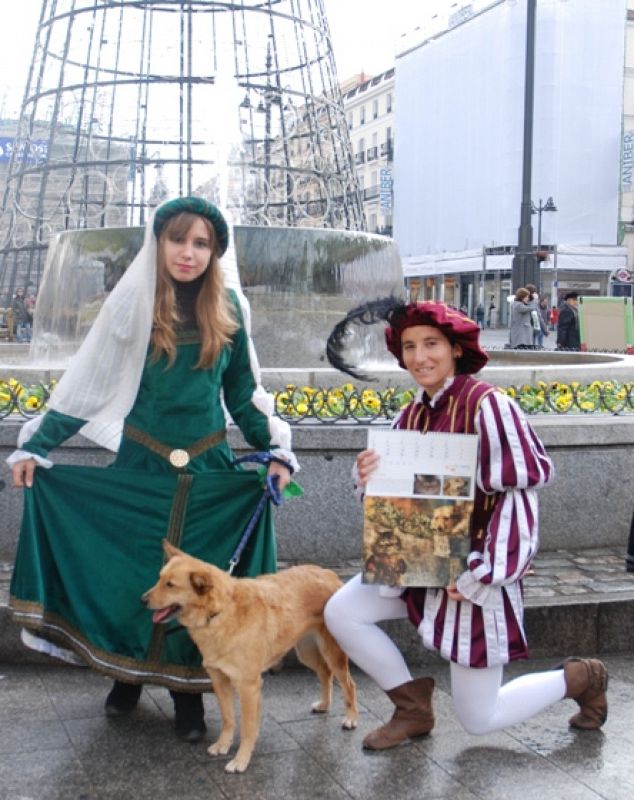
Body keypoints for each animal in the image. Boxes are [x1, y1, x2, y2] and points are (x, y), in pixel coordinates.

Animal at [143, 540, 358, 772]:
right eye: (160, 579)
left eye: (170, 585)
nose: (142, 600)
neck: (220, 612)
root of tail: (328, 573)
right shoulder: (219, 680)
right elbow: (229, 719)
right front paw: (223, 744)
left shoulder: (248, 686)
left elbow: (247, 728)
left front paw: (241, 760)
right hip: (306, 652)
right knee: (325, 674)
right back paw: (325, 705)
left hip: (333, 653)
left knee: (349, 684)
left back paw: (351, 719)